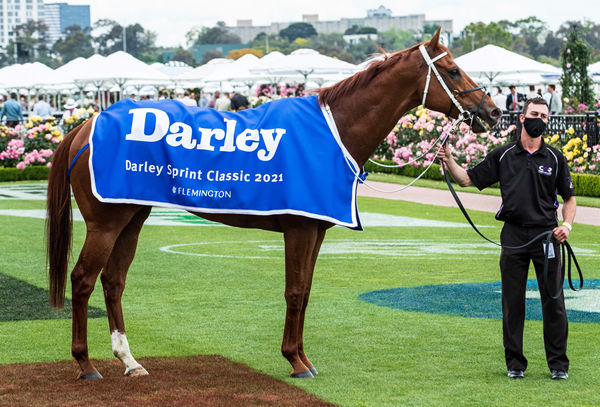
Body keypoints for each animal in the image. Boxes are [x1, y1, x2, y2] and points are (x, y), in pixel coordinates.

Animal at [44, 30, 500, 380]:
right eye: (453, 69)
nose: (493, 113)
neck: (334, 130)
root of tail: (85, 125)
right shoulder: (299, 229)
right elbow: (295, 292)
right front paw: (295, 362)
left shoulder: (315, 230)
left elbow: (306, 291)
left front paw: (302, 356)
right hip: (105, 223)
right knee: (83, 280)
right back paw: (85, 364)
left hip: (133, 216)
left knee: (113, 281)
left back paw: (130, 361)